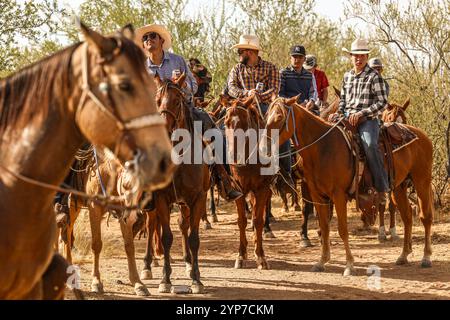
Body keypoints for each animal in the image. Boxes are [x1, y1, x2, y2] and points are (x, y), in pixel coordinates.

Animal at [0, 23, 173, 300]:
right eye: (124, 85)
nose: (161, 162)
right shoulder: (93, 206)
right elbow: (96, 243)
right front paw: (96, 281)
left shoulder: (121, 211)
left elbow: (128, 245)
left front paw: (138, 282)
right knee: (65, 234)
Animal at [142, 75, 210, 296]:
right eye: (157, 101)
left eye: (177, 101)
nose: (163, 128)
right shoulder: (162, 199)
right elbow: (166, 237)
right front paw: (165, 280)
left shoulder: (198, 199)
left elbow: (194, 238)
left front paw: (196, 279)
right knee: (151, 226)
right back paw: (146, 266)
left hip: (184, 204)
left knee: (183, 225)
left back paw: (188, 263)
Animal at [221, 94, 274, 270]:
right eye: (226, 122)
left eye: (245, 124)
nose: (233, 155)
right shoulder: (239, 189)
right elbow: (241, 221)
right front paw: (241, 255)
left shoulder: (262, 189)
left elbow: (258, 220)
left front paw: (261, 256)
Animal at [266, 97, 434, 276]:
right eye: (267, 115)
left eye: (279, 117)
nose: (265, 146)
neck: (323, 147)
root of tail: (422, 135)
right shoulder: (318, 196)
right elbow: (324, 226)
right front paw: (322, 261)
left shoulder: (338, 195)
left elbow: (342, 229)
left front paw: (349, 265)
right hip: (399, 187)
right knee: (408, 216)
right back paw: (403, 255)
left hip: (422, 181)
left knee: (425, 217)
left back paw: (426, 257)